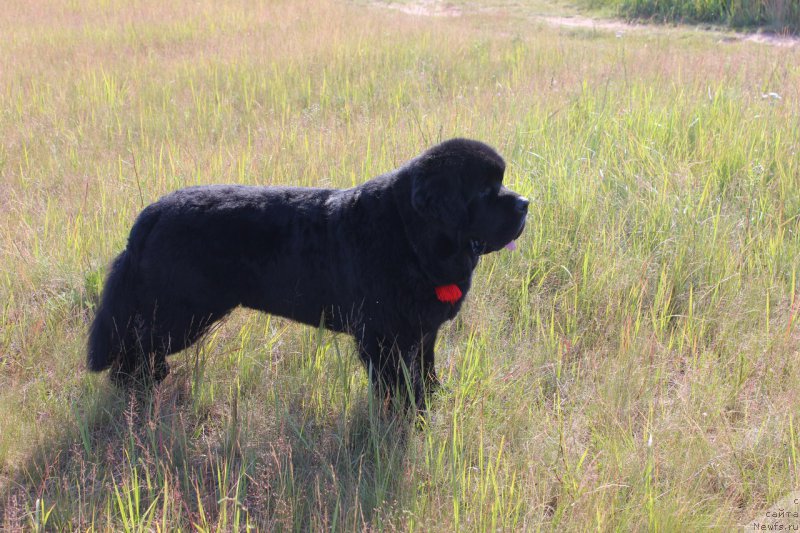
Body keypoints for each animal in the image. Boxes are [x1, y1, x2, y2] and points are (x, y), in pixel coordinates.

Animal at [87, 138, 528, 412]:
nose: (525, 203)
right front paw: (405, 420)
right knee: (135, 345)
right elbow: (395, 387)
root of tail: (150, 214)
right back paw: (135, 389)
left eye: (502, 183)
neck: (410, 233)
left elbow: (425, 371)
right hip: (181, 312)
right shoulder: (383, 338)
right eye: (485, 191)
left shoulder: (421, 331)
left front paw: (431, 402)